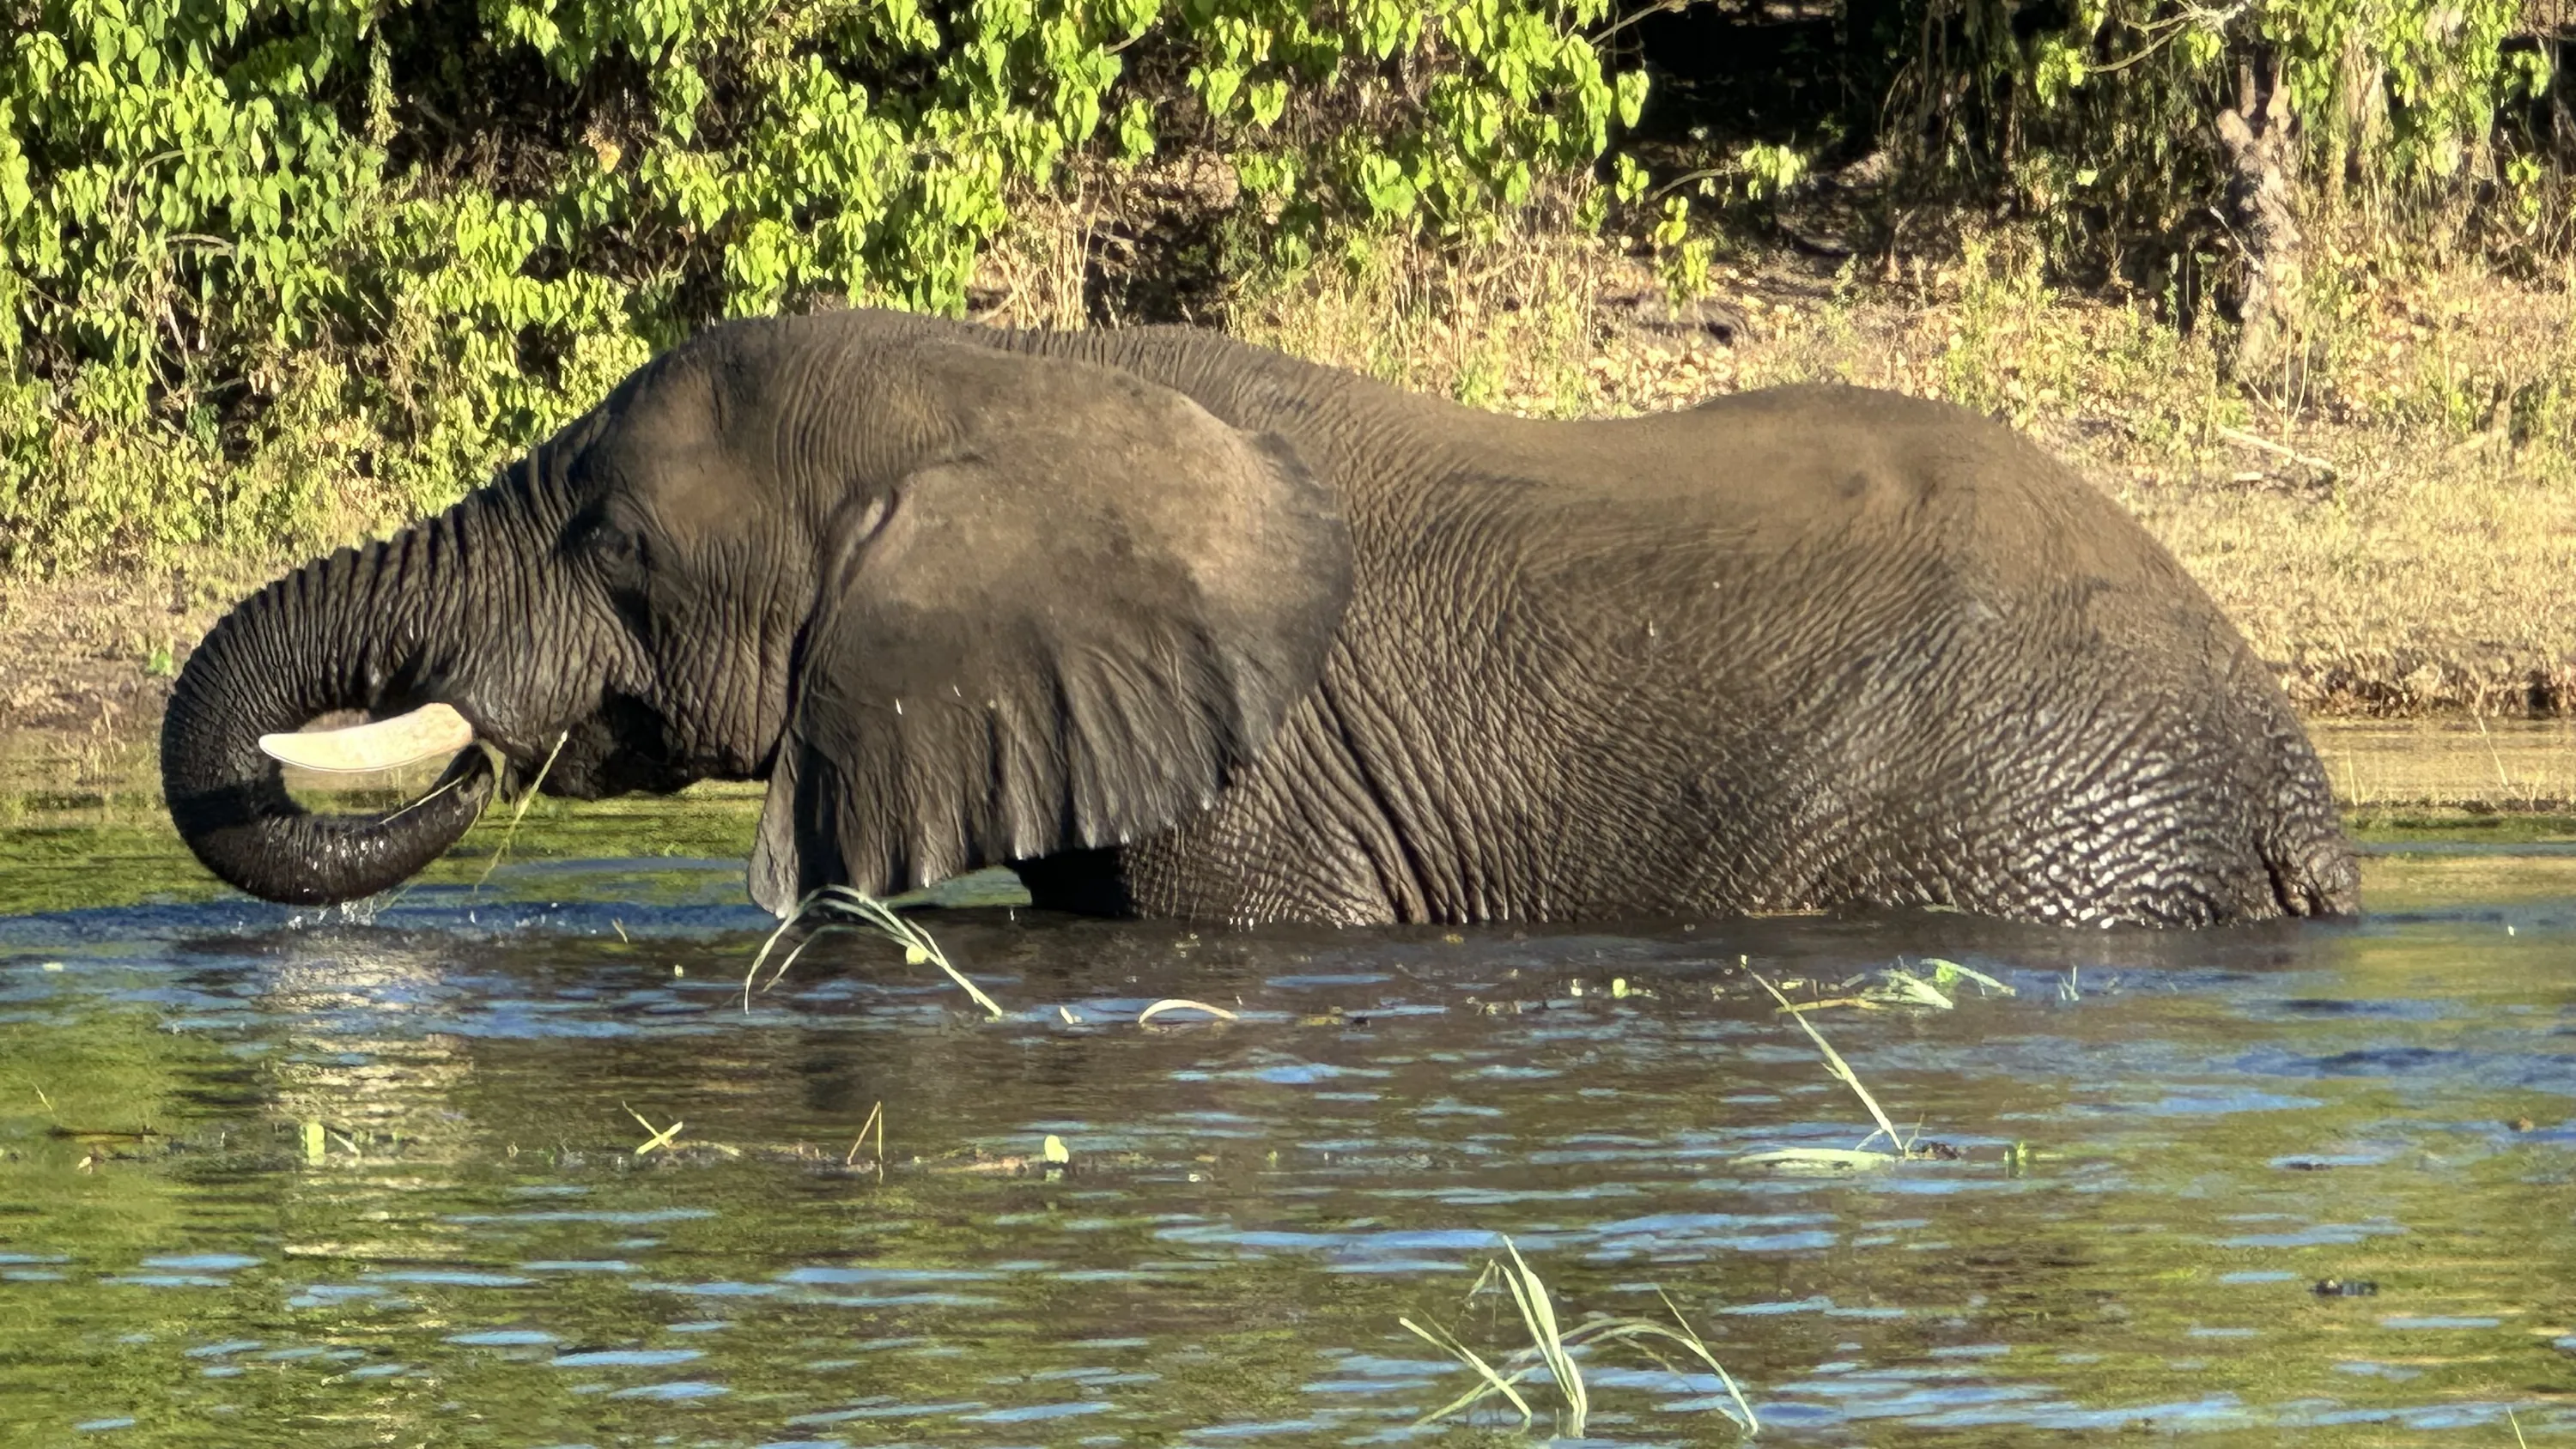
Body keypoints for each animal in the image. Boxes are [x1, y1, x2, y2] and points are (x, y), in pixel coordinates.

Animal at [160, 308, 2359, 928]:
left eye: (613, 544)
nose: (474, 736)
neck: (1006, 376)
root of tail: (2287, 771)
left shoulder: (1265, 793)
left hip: (2018, 825)